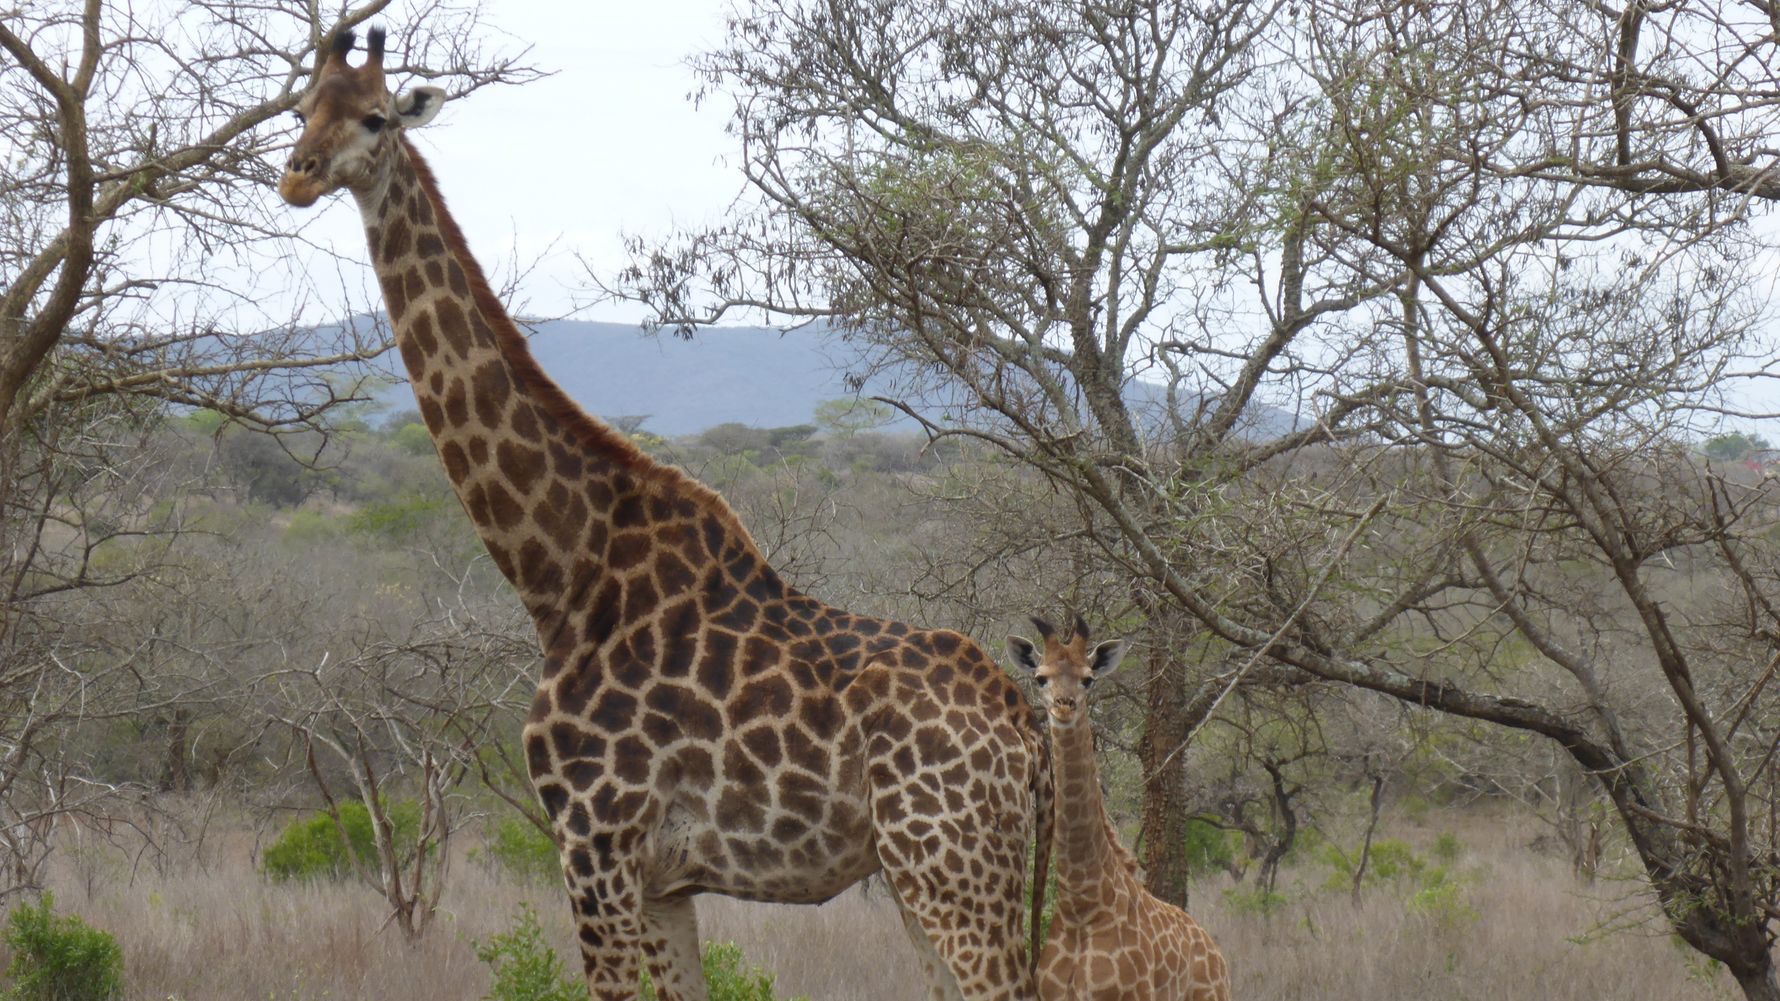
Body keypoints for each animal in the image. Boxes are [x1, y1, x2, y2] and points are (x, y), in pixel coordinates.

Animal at [278, 27, 1052, 1001]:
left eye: (376, 118)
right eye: (302, 107)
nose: (297, 175)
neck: (561, 574)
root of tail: (1023, 725)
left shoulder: (595, 846)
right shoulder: (661, 878)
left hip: (954, 865)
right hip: (933, 876)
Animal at [1008, 616, 1230, 1001]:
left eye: (1088, 678)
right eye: (1041, 677)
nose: (1064, 705)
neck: (1082, 905)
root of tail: (1215, 953)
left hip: (1215, 995)